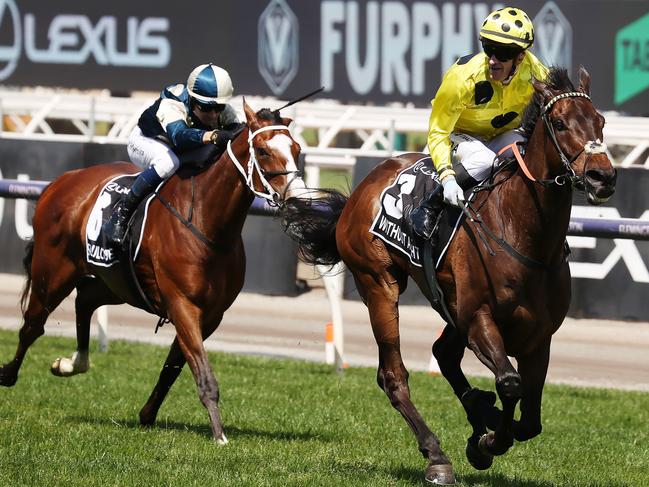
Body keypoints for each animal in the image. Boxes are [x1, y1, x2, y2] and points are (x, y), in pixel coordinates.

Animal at [0, 101, 306, 444]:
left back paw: (72, 363)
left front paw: (148, 414)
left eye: (296, 148)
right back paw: (8, 374)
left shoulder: (211, 314)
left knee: (85, 300)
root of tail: (61, 181)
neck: (206, 223)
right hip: (53, 273)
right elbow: (202, 372)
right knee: (32, 326)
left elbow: (174, 367)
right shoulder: (182, 304)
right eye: (263, 151)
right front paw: (219, 434)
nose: (296, 196)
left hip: (118, 282)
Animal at [280, 66, 616, 484]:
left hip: (448, 302)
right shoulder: (479, 318)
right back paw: (436, 455)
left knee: (443, 354)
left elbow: (530, 419)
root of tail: (363, 187)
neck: (523, 235)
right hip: (379, 284)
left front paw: (485, 429)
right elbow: (510, 385)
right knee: (393, 376)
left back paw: (476, 410)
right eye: (559, 123)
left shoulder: (538, 337)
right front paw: (487, 441)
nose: (603, 176)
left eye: (600, 122)